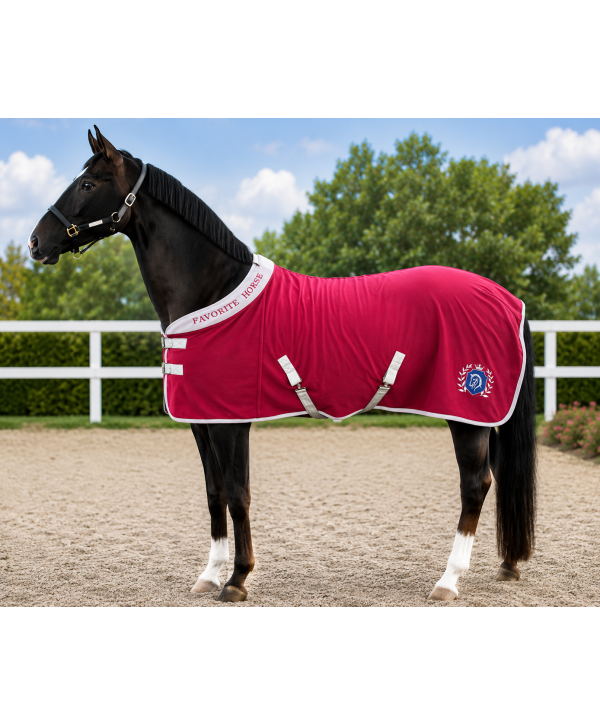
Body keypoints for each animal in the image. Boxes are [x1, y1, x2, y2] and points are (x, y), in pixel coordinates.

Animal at [28, 126, 537, 604]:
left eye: (88, 183)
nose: (35, 242)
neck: (211, 290)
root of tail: (506, 298)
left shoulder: (232, 422)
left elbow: (238, 494)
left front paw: (237, 580)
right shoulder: (203, 421)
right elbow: (214, 493)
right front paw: (209, 575)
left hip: (465, 413)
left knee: (475, 485)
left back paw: (448, 581)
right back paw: (506, 566)